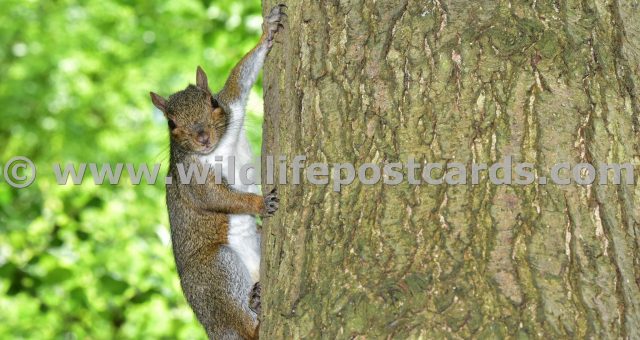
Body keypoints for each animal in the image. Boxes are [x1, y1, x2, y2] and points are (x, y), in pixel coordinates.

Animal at [149, 3, 286, 338]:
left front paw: (268, 30)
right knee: (244, 325)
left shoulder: (232, 104)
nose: (202, 136)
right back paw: (256, 317)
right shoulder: (192, 178)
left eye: (212, 101)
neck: (216, 150)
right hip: (216, 274)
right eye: (170, 123)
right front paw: (260, 203)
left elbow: (241, 78)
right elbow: (216, 198)